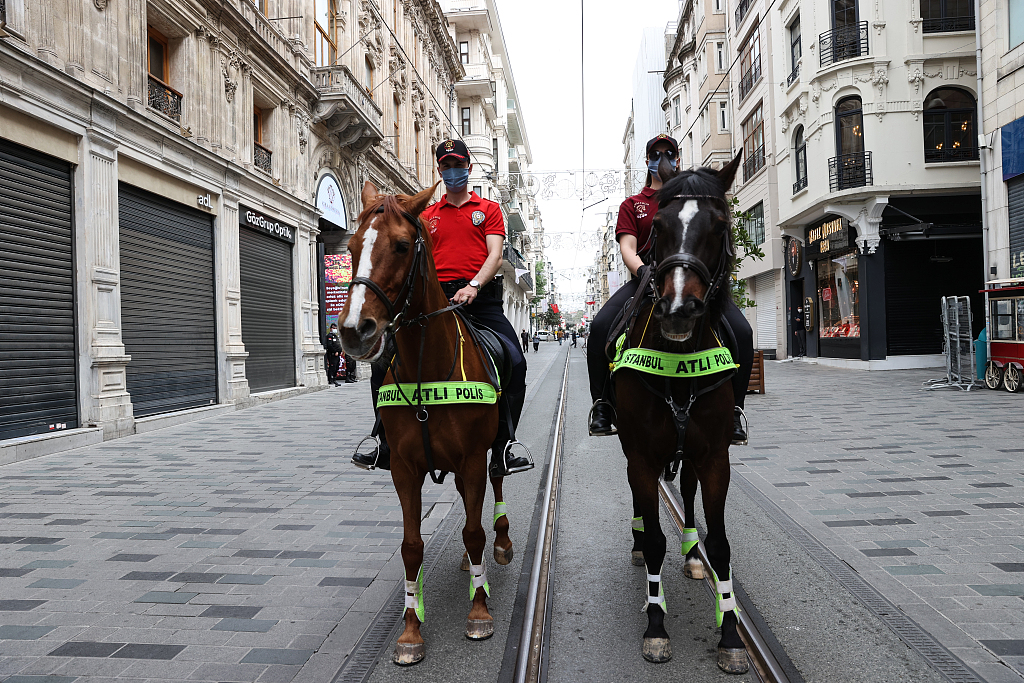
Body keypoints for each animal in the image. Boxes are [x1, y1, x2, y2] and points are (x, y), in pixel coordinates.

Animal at [339, 181, 516, 667]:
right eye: (351, 247)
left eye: (402, 246)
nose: (352, 330)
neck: (427, 365)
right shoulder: (403, 467)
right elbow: (411, 546)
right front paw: (410, 629)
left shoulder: (472, 458)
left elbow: (473, 530)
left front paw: (479, 611)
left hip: (490, 450)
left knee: (496, 479)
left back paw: (500, 545)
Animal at [610, 153, 749, 671]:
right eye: (658, 227)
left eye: (720, 225)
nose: (677, 307)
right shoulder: (642, 455)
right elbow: (654, 539)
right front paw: (655, 625)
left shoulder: (715, 457)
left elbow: (721, 544)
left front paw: (730, 632)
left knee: (686, 490)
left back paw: (691, 553)